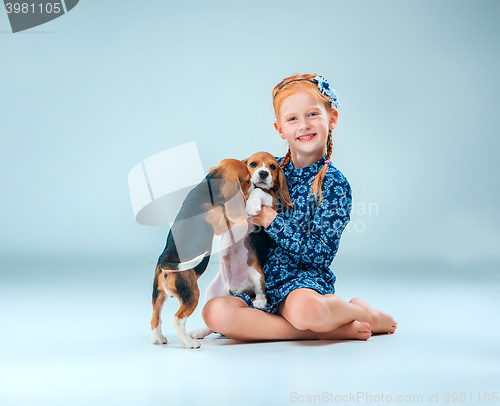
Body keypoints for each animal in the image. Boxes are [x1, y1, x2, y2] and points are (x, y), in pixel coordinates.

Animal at [148, 159, 250, 348]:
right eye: (247, 180)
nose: (253, 184)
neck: (208, 184)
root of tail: (166, 262)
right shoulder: (221, 224)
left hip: (158, 296)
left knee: (155, 318)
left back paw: (158, 339)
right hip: (192, 295)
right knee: (177, 319)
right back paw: (189, 343)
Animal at [190, 151, 292, 340]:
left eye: (273, 166)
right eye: (253, 164)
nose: (263, 173)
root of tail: (236, 289)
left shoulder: (272, 201)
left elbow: (258, 191)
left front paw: (251, 205)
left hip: (257, 275)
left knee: (261, 293)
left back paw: (259, 301)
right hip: (212, 291)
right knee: (210, 321)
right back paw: (199, 332)